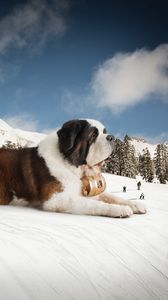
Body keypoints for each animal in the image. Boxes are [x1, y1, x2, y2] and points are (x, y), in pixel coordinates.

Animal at [0, 119, 146, 218]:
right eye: (93, 135)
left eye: (105, 132)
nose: (112, 137)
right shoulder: (56, 199)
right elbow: (93, 204)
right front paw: (120, 209)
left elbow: (113, 197)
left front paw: (135, 204)